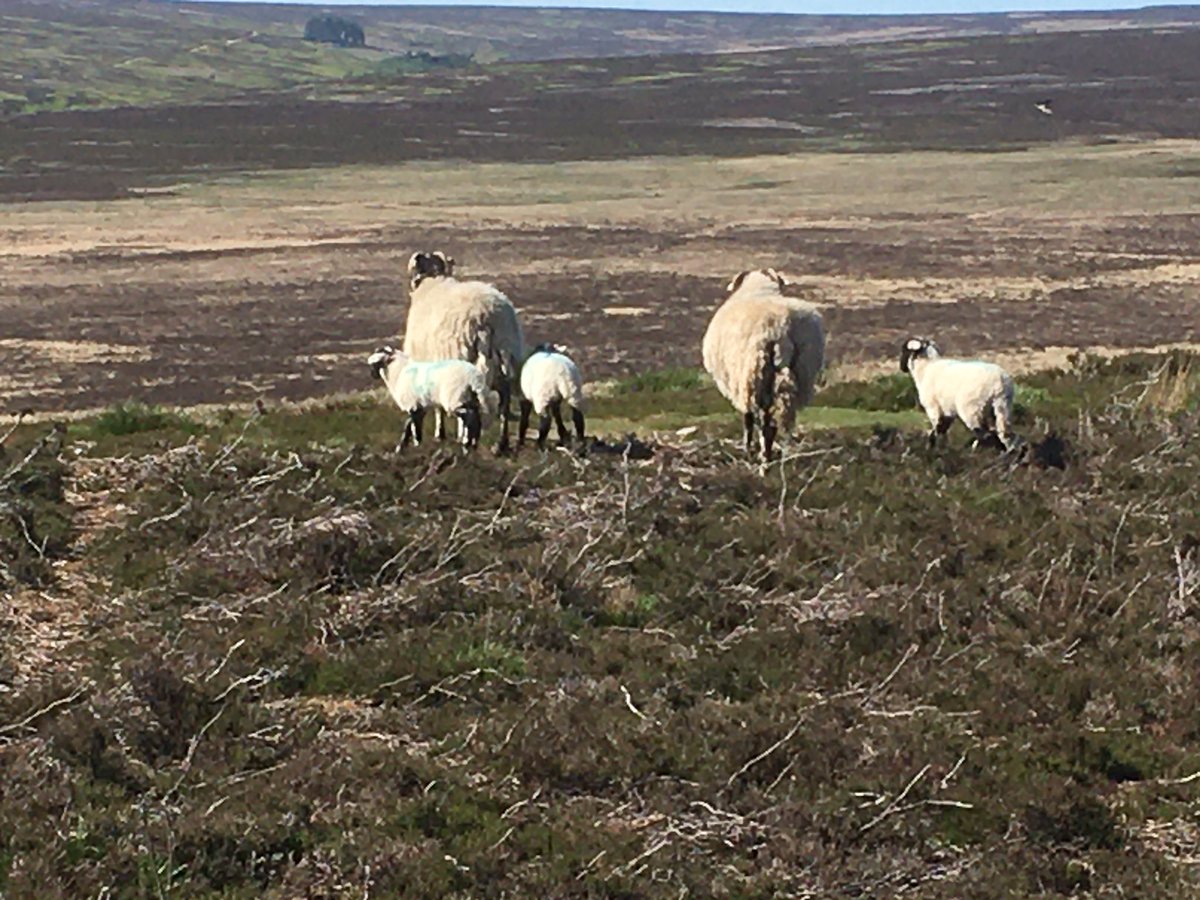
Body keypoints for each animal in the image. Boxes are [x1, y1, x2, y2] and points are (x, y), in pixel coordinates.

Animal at [403, 251, 525, 453]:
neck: (432, 280)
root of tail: (485, 316)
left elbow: (437, 405)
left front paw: (440, 434)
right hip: (505, 360)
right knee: (504, 406)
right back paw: (500, 443)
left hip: (461, 360)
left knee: (469, 408)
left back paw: (466, 441)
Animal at [701, 268, 825, 461]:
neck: (758, 289)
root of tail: (781, 328)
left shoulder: (741, 383)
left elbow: (747, 419)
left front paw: (747, 448)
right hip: (801, 371)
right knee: (776, 418)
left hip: (754, 374)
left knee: (761, 419)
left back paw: (762, 454)